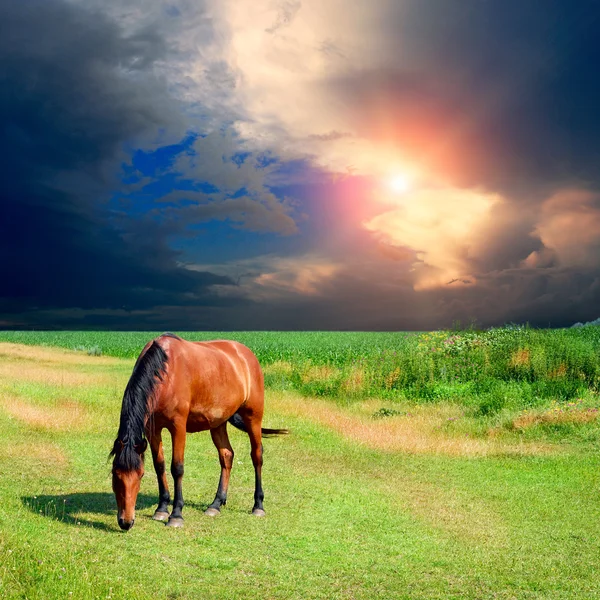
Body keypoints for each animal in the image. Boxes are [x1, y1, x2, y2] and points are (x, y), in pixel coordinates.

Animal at [109, 332, 288, 528]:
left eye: (140, 475)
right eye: (115, 475)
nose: (126, 522)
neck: (165, 373)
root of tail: (248, 355)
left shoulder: (178, 426)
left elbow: (177, 467)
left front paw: (176, 515)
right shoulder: (152, 429)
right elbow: (159, 465)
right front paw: (162, 509)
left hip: (253, 417)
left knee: (257, 456)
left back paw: (258, 506)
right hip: (218, 423)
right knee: (227, 455)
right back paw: (216, 504)